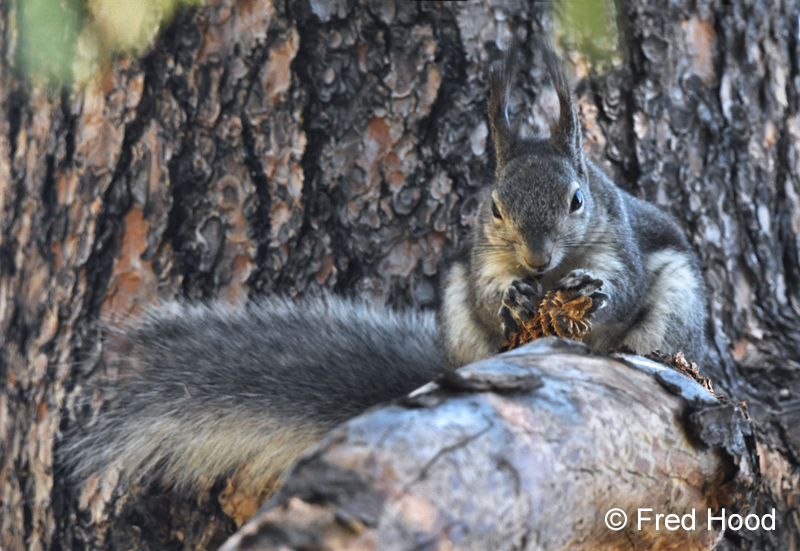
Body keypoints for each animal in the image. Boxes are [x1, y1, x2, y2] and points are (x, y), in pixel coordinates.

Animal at [62, 45, 710, 500]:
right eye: (494, 207)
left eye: (578, 200)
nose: (536, 260)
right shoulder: (478, 258)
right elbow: (487, 294)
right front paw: (512, 298)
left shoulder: (621, 239)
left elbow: (623, 285)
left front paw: (591, 292)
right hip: (460, 329)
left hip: (677, 306)